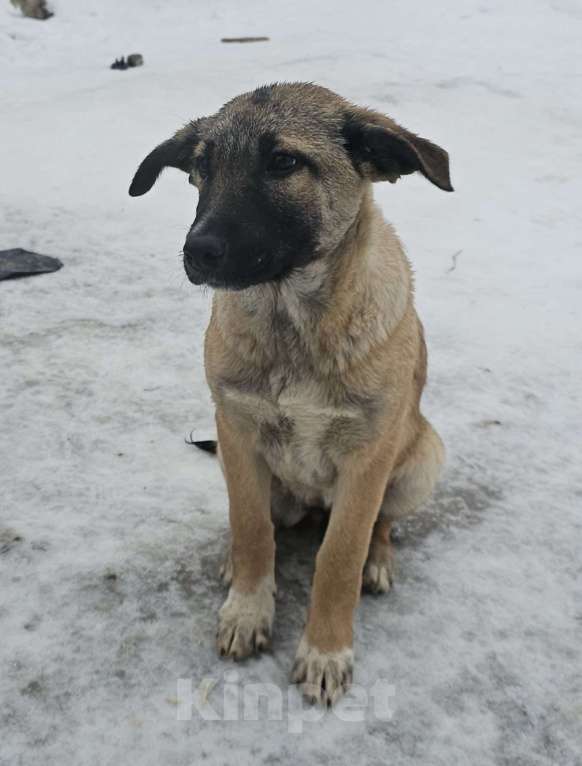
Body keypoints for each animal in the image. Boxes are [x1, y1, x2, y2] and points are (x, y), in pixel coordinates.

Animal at [130, 82, 454, 708]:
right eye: (201, 170)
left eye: (283, 162)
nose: (196, 252)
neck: (291, 324)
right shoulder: (236, 432)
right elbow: (252, 527)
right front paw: (248, 610)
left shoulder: (366, 457)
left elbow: (340, 554)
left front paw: (325, 650)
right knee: (263, 521)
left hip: (422, 459)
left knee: (381, 524)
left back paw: (379, 562)